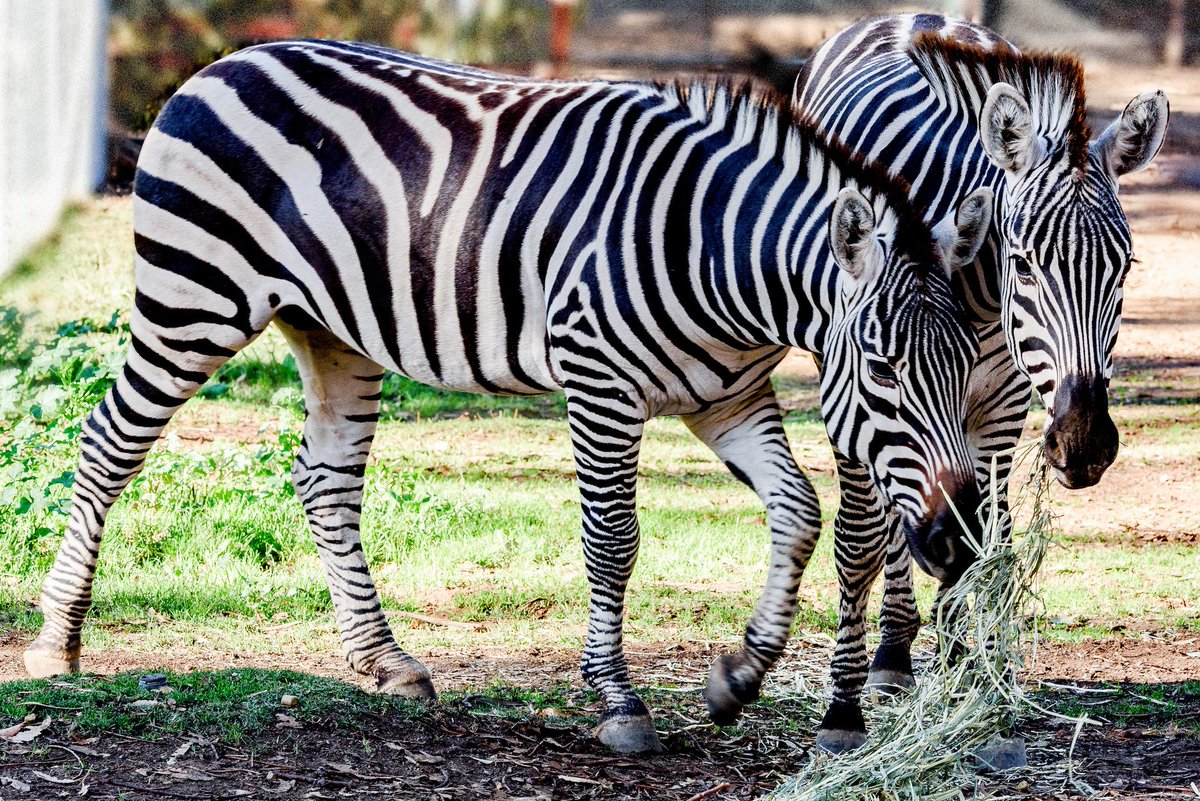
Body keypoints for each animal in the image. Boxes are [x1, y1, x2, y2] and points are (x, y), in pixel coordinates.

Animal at [22, 40, 993, 754]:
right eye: (884, 370)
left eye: (963, 368)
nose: (956, 540)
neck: (722, 256)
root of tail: (223, 63)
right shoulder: (598, 379)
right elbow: (614, 540)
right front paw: (619, 699)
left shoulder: (728, 395)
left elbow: (797, 512)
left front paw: (738, 676)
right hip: (194, 298)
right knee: (106, 441)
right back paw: (57, 640)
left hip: (331, 331)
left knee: (323, 481)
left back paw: (385, 659)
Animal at [793, 13, 1168, 751]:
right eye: (1023, 264)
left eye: (1125, 267)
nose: (1084, 444)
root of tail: (904, 18)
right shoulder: (856, 390)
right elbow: (859, 540)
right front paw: (844, 709)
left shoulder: (1002, 403)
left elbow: (989, 534)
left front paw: (976, 673)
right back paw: (890, 655)